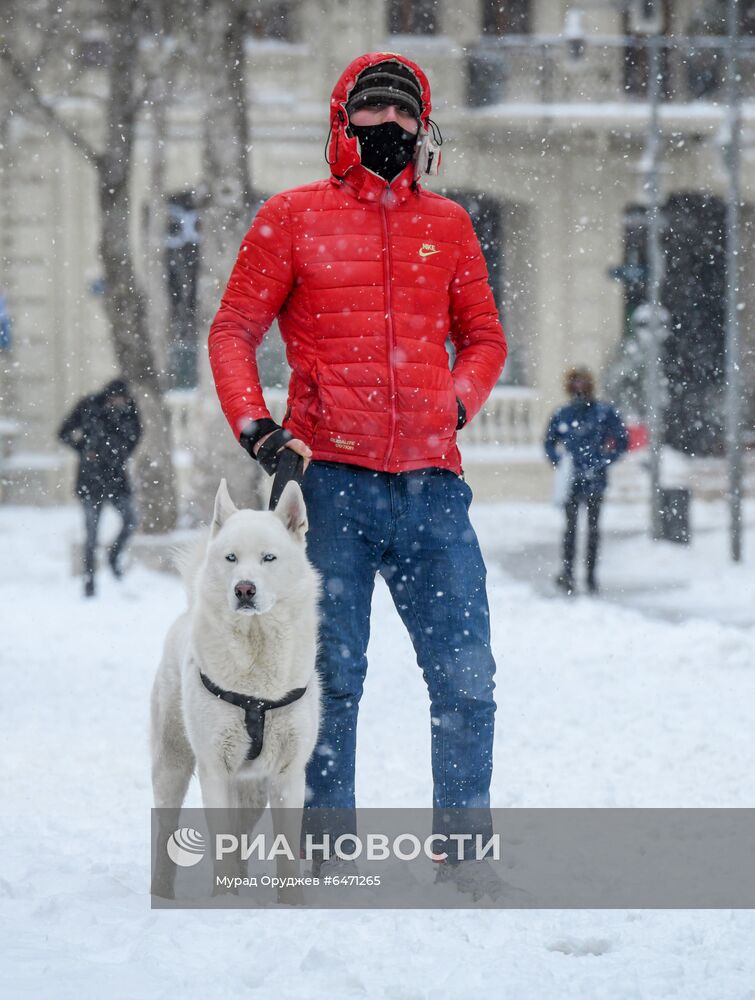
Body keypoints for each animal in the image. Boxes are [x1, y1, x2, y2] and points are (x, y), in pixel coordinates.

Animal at [152, 476, 320, 900]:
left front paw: (292, 904)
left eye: (268, 558)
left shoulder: (288, 773)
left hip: (253, 790)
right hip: (172, 763)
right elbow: (222, 843)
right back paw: (161, 893)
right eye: (230, 558)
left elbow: (285, 849)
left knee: (243, 833)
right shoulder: (215, 768)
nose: (244, 589)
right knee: (166, 831)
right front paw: (224, 902)